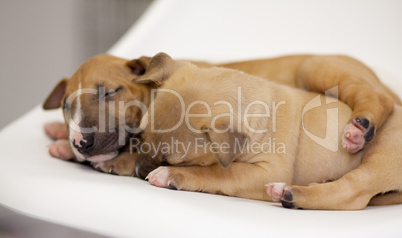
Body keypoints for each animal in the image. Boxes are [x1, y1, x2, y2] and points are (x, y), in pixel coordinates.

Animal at [42, 52, 400, 175]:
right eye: (66, 107)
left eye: (110, 92)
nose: (81, 142)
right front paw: (59, 136)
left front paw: (116, 162)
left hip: (317, 68)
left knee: (378, 99)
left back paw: (358, 130)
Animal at [136, 52, 402, 210]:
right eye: (139, 136)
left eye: (175, 161)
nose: (138, 170)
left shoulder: (267, 170)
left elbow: (218, 172)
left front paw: (170, 175)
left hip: (379, 157)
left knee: (352, 193)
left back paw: (289, 193)